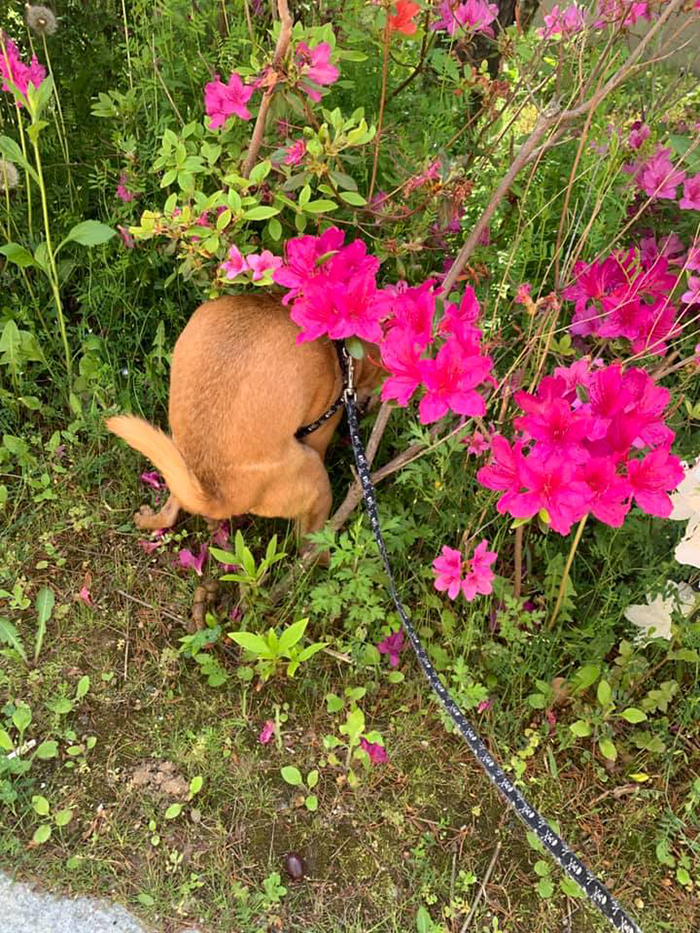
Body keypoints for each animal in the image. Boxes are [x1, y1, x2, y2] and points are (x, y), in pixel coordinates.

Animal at [105, 294, 382, 548]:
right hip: (317, 479)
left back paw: (152, 519)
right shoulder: (321, 428)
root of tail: (215, 495)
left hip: (176, 461)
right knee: (307, 545)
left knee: (171, 508)